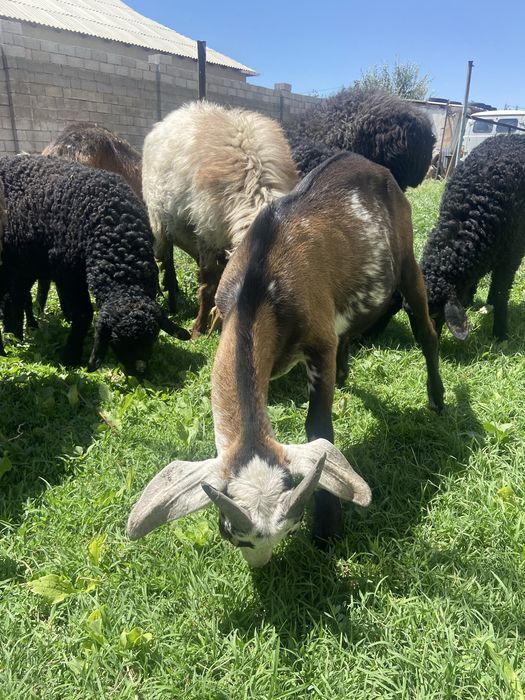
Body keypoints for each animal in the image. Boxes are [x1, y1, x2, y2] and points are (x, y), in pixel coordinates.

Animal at [127, 152, 444, 566]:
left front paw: (328, 527)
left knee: (425, 329)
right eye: (229, 532)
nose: (260, 566)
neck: (260, 287)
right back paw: (347, 373)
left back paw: (437, 399)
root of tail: (370, 164)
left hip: (407, 257)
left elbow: (318, 427)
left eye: (292, 528)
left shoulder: (318, 343)